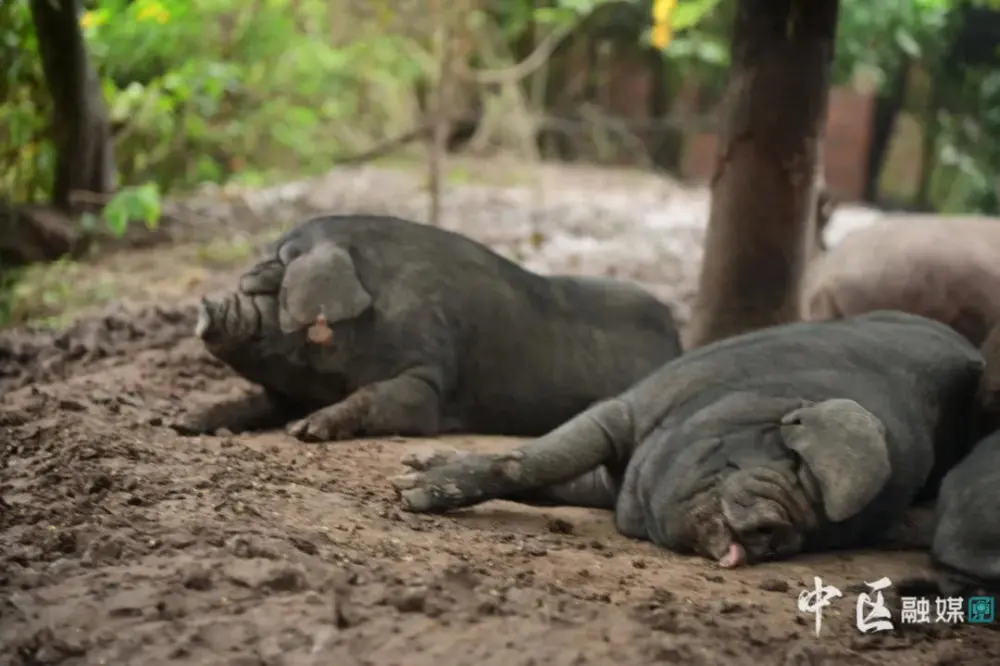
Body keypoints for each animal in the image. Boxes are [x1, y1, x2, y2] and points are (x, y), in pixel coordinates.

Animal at [176, 214, 684, 440]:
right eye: (246, 280)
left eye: (268, 288)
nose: (207, 305)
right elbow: (247, 402)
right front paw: (183, 421)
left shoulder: (427, 377)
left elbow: (384, 397)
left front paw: (306, 429)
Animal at [390, 312, 984, 564]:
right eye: (797, 465)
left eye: (828, 531)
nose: (780, 529)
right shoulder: (629, 408)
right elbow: (539, 461)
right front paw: (411, 492)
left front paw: (412, 482)